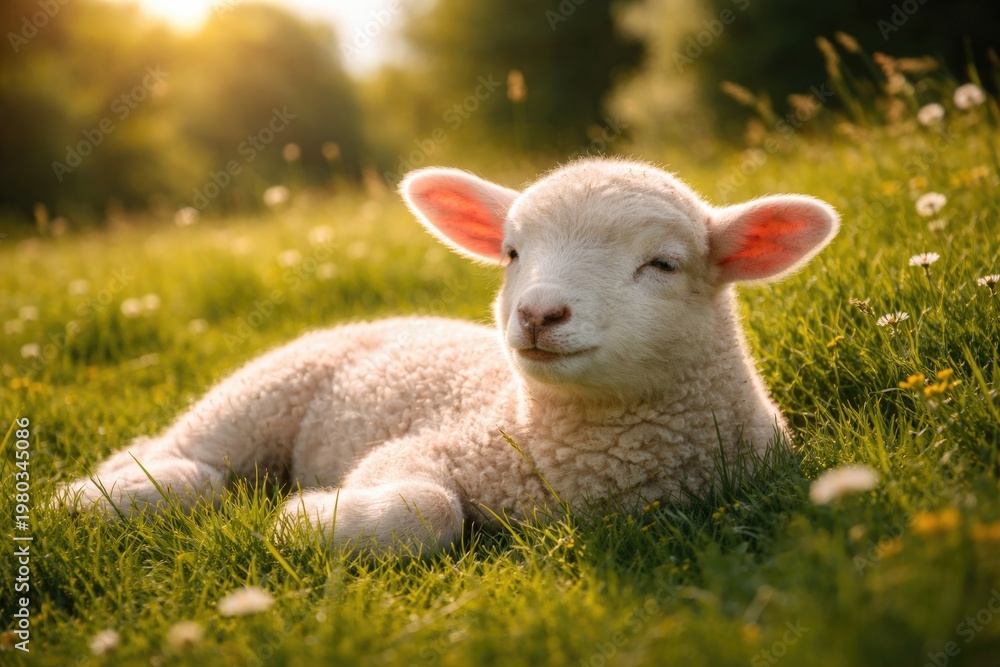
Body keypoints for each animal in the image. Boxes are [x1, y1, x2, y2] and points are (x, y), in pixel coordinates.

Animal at [57, 158, 839, 553]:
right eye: (511, 252)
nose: (538, 313)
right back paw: (101, 496)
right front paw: (307, 520)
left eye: (663, 264)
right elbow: (429, 506)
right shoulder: (427, 445)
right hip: (258, 394)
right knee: (179, 458)